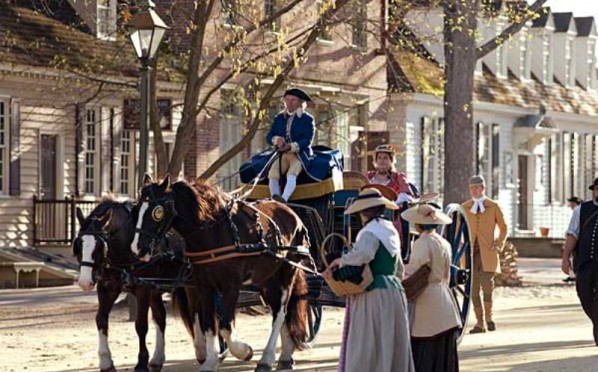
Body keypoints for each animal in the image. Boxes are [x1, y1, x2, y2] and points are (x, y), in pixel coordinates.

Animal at [73, 196, 202, 370]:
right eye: (78, 244)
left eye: (100, 245)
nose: (85, 282)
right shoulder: (107, 287)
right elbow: (101, 319)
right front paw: (105, 361)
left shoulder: (143, 288)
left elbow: (141, 325)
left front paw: (141, 362)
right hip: (156, 291)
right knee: (161, 317)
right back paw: (157, 359)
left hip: (192, 284)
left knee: (199, 311)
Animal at [131, 175, 310, 372]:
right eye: (136, 209)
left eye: (157, 212)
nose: (138, 248)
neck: (213, 231)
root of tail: (290, 211)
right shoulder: (204, 286)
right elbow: (209, 324)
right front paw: (210, 361)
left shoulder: (230, 286)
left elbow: (225, 326)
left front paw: (244, 351)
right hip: (267, 280)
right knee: (278, 311)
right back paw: (285, 355)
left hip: (287, 272)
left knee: (280, 313)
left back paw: (266, 359)